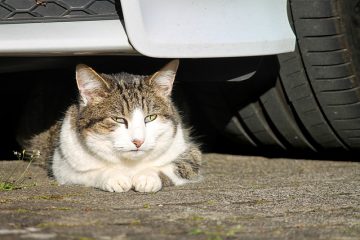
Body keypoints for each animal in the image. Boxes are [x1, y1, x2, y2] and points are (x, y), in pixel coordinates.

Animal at [23, 60, 202, 193]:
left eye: (150, 118)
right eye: (118, 119)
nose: (138, 141)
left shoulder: (189, 152)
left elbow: (176, 166)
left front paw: (147, 176)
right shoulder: (63, 164)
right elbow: (88, 172)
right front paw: (114, 177)